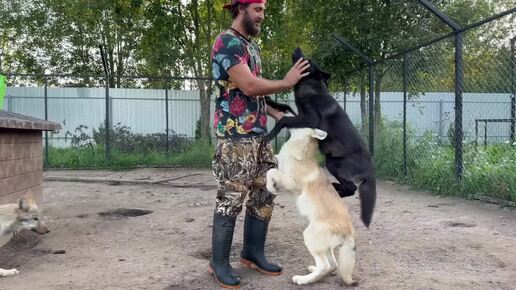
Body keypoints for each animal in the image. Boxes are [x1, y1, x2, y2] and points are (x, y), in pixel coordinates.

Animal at [264, 47, 376, 228]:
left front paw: (269, 134)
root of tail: (371, 167)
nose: (297, 48)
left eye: (308, 60)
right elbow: (286, 108)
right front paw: (271, 102)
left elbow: (283, 120)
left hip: (333, 162)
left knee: (351, 188)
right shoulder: (299, 116)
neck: (312, 87)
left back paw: (335, 188)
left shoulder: (310, 119)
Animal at [266, 129, 358, 286]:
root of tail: (349, 231)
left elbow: (271, 171)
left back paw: (302, 280)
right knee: (333, 266)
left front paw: (271, 188)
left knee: (325, 266)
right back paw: (313, 272)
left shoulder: (291, 183)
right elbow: (272, 168)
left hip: (310, 236)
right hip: (325, 246)